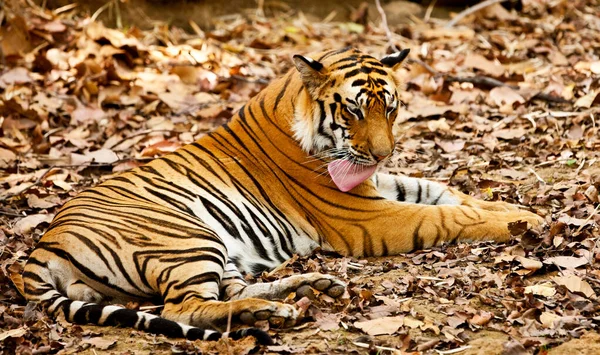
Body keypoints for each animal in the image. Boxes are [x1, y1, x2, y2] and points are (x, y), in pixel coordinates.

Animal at [22, 47, 544, 344]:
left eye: (390, 109)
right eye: (354, 111)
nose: (383, 152)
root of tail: (42, 246)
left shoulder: (375, 184)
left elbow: (445, 192)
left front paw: (514, 208)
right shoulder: (364, 215)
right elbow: (444, 217)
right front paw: (526, 221)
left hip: (213, 248)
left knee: (233, 291)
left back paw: (300, 294)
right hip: (183, 235)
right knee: (183, 307)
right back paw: (281, 306)